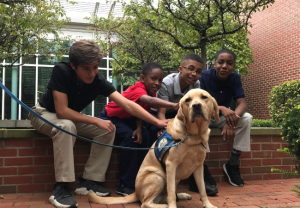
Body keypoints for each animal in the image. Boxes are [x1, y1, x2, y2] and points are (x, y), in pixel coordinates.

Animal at [88, 88, 219, 207]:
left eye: (204, 97)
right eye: (188, 100)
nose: (196, 105)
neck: (194, 135)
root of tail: (136, 192)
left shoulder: (198, 166)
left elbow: (202, 190)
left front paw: (208, 205)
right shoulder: (171, 165)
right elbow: (171, 192)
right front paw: (172, 206)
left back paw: (182, 195)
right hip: (157, 177)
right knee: (146, 203)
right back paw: (165, 205)